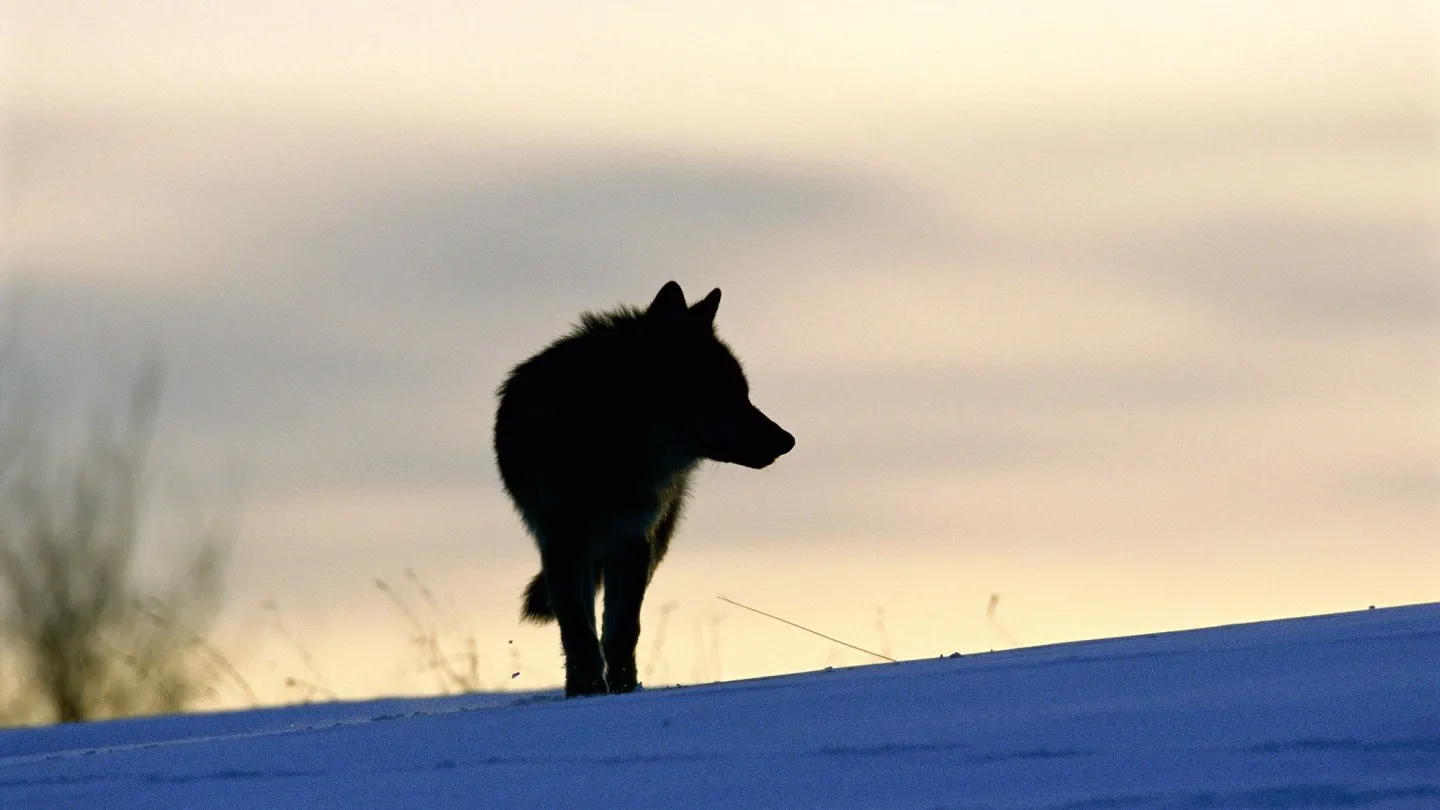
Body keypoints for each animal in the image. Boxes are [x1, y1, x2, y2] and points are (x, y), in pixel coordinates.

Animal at [494, 281, 795, 697]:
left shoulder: (635, 540)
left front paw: (623, 689)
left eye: (744, 393)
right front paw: (585, 691)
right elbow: (578, 631)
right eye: (727, 394)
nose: (788, 441)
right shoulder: (562, 543)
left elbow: (623, 629)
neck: (613, 446)